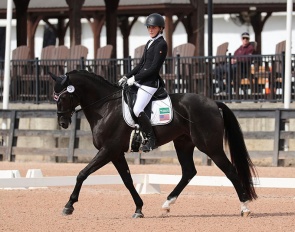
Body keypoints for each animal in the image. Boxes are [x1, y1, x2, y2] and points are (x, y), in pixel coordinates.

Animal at [51, 70, 260, 218]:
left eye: (63, 97)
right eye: (55, 97)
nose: (63, 123)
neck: (105, 108)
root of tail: (213, 103)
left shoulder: (108, 150)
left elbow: (82, 173)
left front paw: (68, 206)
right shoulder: (116, 153)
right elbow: (127, 180)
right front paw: (139, 208)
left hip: (210, 147)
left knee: (230, 171)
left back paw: (245, 208)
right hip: (183, 144)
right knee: (188, 172)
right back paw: (167, 205)